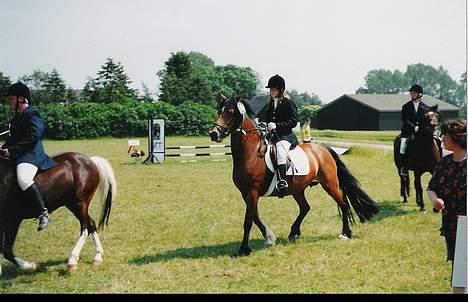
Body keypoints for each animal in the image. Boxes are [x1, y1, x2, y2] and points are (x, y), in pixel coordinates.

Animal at [208, 95, 380, 256]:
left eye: (230, 112)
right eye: (219, 111)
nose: (214, 134)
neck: (251, 153)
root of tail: (323, 149)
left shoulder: (252, 192)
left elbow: (250, 220)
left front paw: (254, 244)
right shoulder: (245, 193)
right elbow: (252, 218)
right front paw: (257, 243)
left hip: (330, 184)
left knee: (343, 204)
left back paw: (345, 233)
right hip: (297, 189)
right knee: (305, 208)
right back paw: (294, 233)